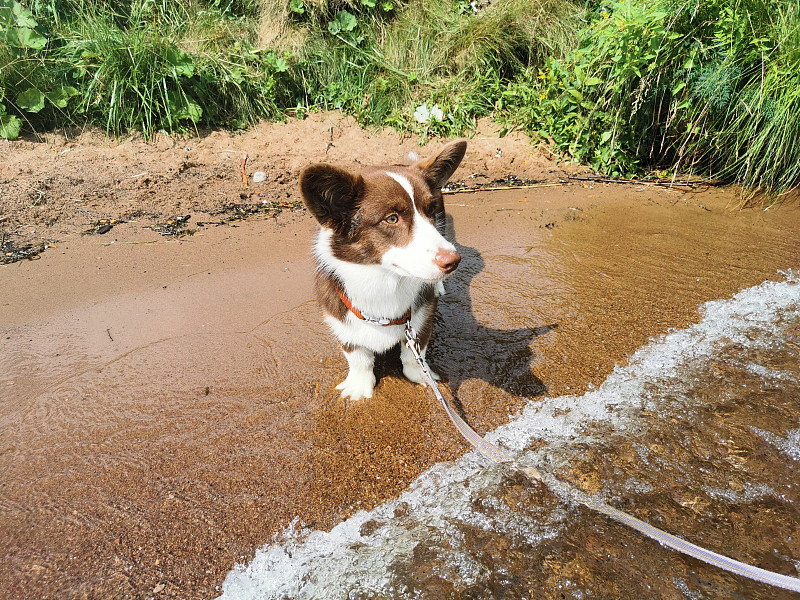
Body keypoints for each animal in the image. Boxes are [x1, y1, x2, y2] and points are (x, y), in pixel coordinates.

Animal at [300, 140, 466, 400]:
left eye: (430, 211)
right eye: (392, 218)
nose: (453, 261)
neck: (384, 278)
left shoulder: (421, 317)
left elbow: (414, 354)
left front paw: (422, 376)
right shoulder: (340, 319)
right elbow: (358, 357)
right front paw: (358, 387)